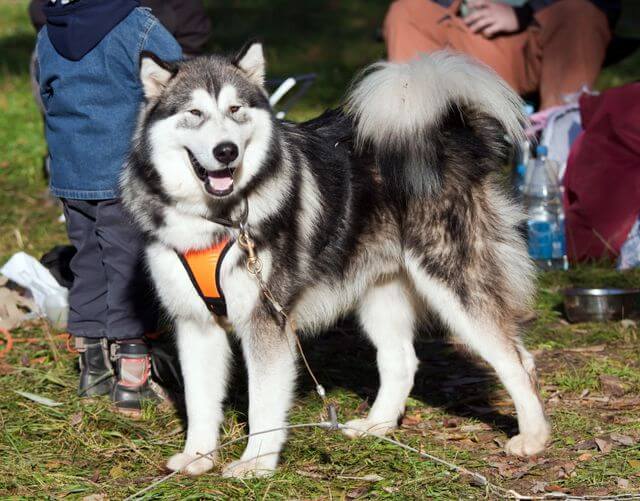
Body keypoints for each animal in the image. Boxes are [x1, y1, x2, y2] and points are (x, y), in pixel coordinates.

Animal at [121, 42, 552, 476]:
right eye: (194, 113)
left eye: (235, 109)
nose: (226, 151)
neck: (216, 219)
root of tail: (451, 133)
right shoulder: (195, 324)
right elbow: (199, 402)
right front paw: (198, 456)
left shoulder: (267, 321)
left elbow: (262, 406)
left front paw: (256, 464)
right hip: (380, 294)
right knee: (402, 361)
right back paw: (377, 425)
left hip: (453, 285)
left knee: (519, 361)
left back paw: (533, 438)